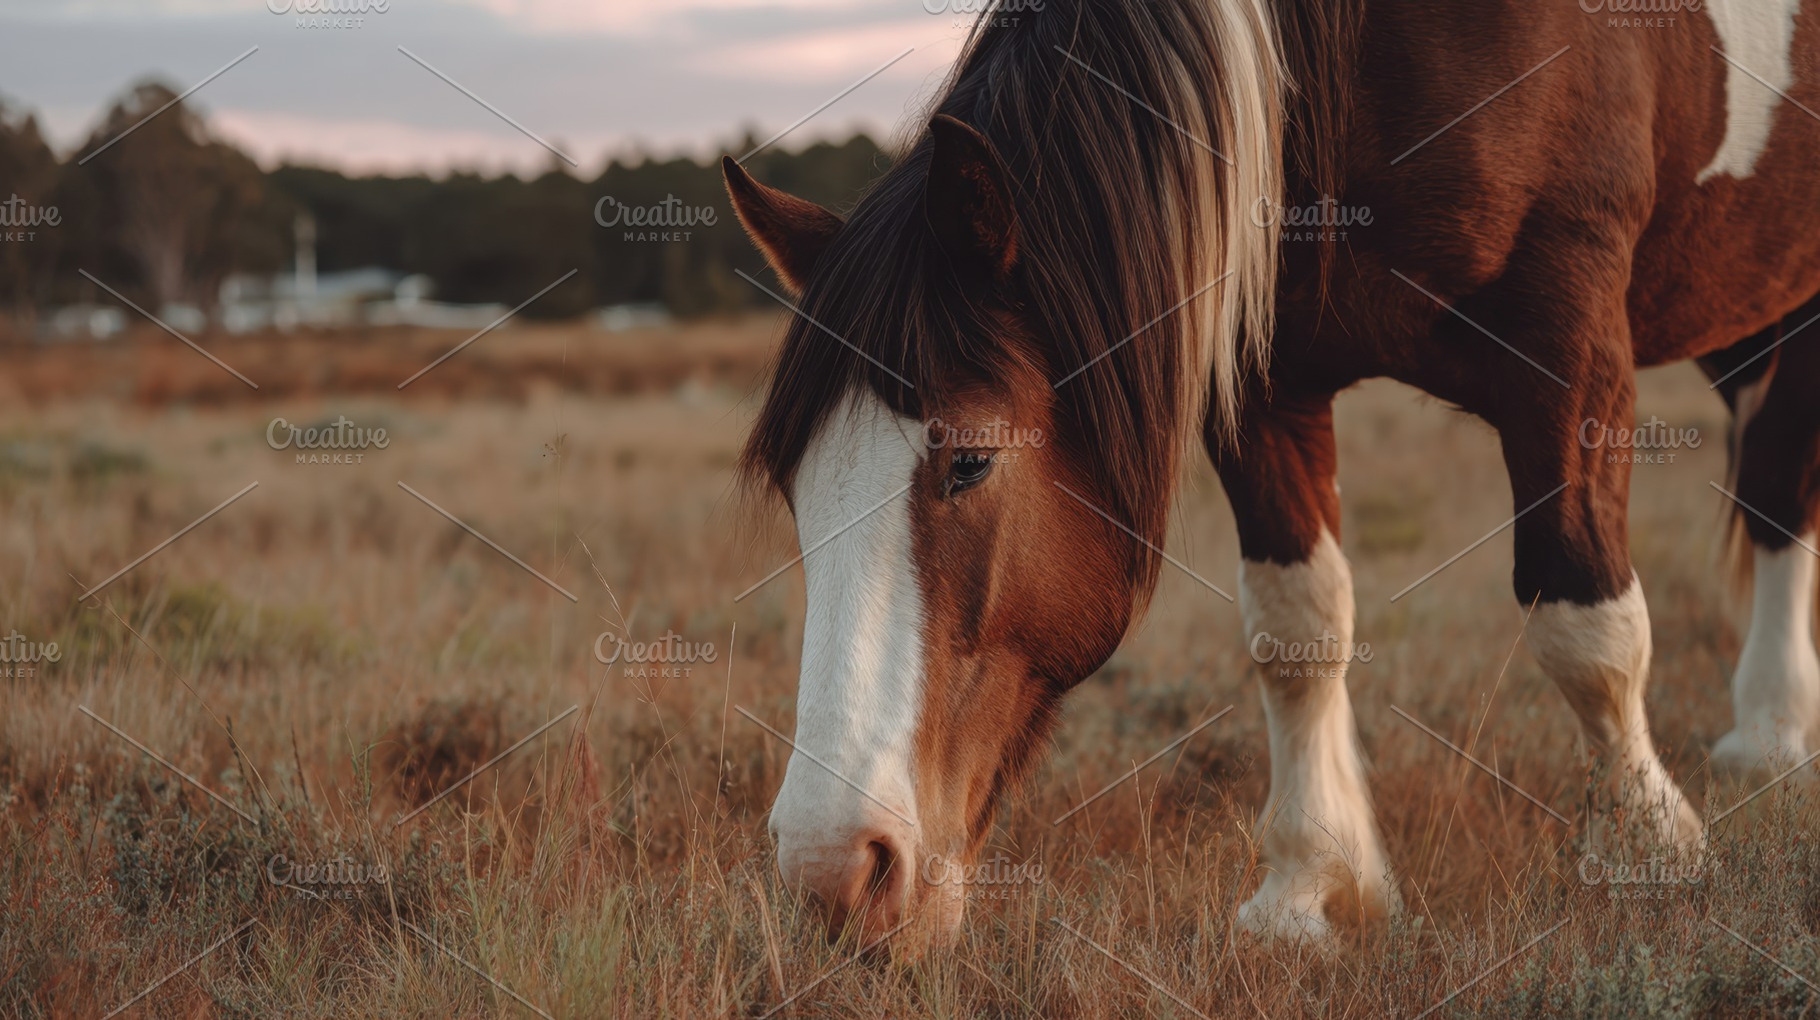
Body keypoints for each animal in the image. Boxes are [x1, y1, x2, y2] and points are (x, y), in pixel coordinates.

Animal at [722, 0, 1820, 944]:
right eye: (796, 489)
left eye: (971, 462)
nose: (830, 872)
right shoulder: (1263, 383)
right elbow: (1297, 631)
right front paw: (1310, 883)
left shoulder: (1570, 336)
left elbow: (1585, 622)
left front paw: (1651, 849)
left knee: (1777, 490)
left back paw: (1772, 734)